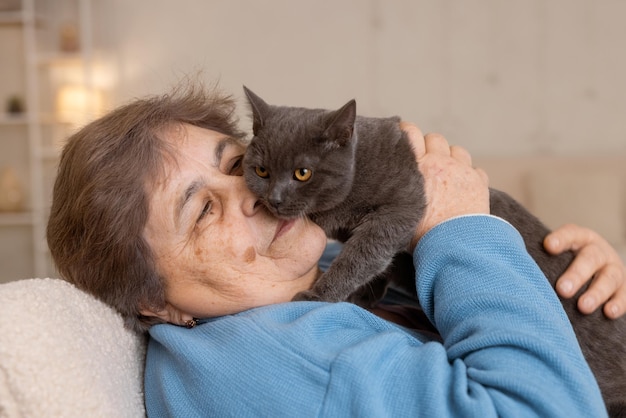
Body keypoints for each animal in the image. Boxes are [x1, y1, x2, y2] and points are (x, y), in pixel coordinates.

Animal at [240, 86, 624, 416]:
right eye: (261, 170)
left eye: (302, 173)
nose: (274, 199)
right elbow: (375, 259)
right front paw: (362, 295)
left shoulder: (400, 208)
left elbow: (361, 254)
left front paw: (319, 295)